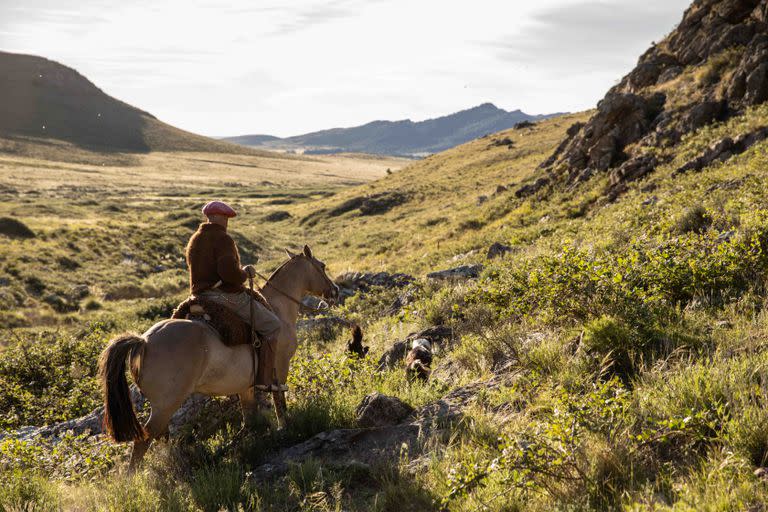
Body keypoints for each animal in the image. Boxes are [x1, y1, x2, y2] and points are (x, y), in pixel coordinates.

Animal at [97, 244, 338, 472]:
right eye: (322, 266)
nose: (334, 292)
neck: (278, 309)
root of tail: (144, 341)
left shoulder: (246, 386)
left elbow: (249, 418)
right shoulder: (280, 367)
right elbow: (280, 401)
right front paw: (284, 428)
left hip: (162, 408)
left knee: (161, 438)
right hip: (165, 406)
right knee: (144, 440)